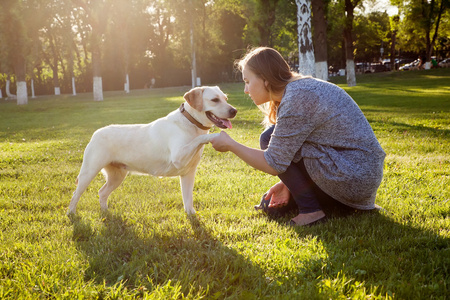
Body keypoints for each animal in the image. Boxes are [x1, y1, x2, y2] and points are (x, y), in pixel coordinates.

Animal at [67, 85, 236, 214]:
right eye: (215, 100)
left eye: (225, 99)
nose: (234, 110)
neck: (191, 123)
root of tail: (96, 133)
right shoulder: (179, 157)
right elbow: (199, 139)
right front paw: (215, 136)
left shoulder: (188, 173)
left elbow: (188, 200)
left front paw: (192, 216)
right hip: (89, 172)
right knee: (75, 194)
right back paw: (72, 215)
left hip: (117, 176)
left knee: (102, 193)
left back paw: (105, 212)